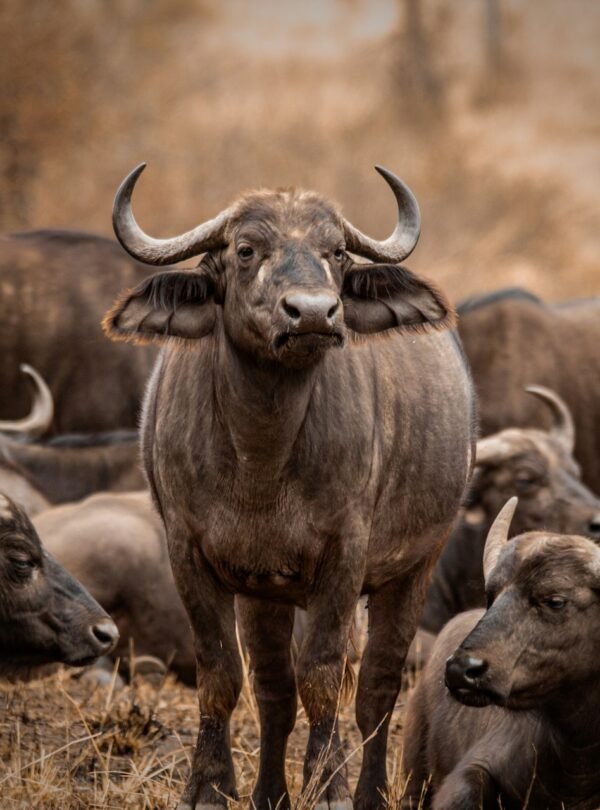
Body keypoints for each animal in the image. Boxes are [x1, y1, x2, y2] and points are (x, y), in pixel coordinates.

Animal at [104, 164, 475, 810]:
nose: (313, 314)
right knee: (274, 690)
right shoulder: (188, 554)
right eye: (246, 249)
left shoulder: (345, 556)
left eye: (336, 252)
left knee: (376, 689)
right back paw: (268, 793)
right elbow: (222, 674)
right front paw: (211, 785)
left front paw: (328, 786)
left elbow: (323, 678)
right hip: (265, 594)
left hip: (415, 566)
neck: (262, 456)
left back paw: (368, 791)